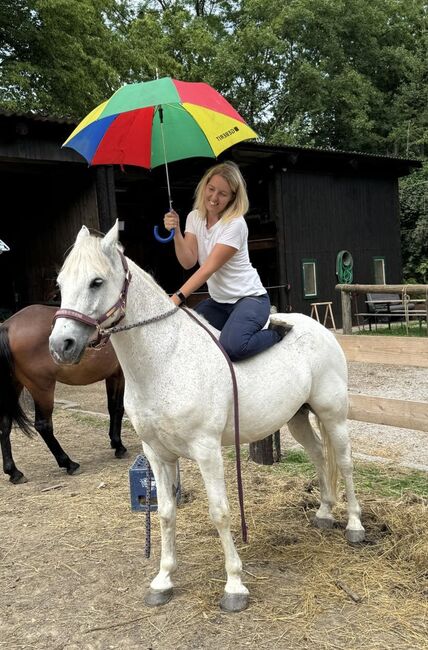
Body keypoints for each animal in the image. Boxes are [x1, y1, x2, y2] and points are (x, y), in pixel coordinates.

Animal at [0, 304, 125, 480]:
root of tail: (8, 325)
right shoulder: (121, 375)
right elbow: (118, 408)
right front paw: (119, 445)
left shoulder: (112, 376)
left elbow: (112, 408)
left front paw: (114, 442)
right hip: (42, 388)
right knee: (43, 425)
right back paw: (68, 463)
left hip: (15, 385)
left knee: (5, 425)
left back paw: (14, 472)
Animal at [49, 221, 364, 608]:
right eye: (61, 283)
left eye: (96, 282)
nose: (60, 346)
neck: (165, 360)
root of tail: (319, 329)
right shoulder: (157, 454)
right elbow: (165, 513)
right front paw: (163, 580)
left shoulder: (206, 450)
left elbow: (220, 512)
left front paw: (234, 586)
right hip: (297, 417)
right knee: (320, 456)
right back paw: (323, 513)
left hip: (333, 414)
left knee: (345, 462)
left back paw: (354, 525)